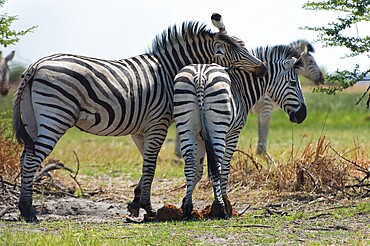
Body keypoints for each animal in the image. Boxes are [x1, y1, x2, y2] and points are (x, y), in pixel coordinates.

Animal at [173, 45, 306, 218]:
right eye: (293, 82)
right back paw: (221, 207)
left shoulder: (200, 138)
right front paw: (224, 202)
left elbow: (198, 170)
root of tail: (200, 75)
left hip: (186, 125)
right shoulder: (233, 133)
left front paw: (186, 202)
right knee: (217, 164)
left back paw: (188, 209)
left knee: (189, 162)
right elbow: (224, 168)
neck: (241, 88)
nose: (303, 115)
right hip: (219, 128)